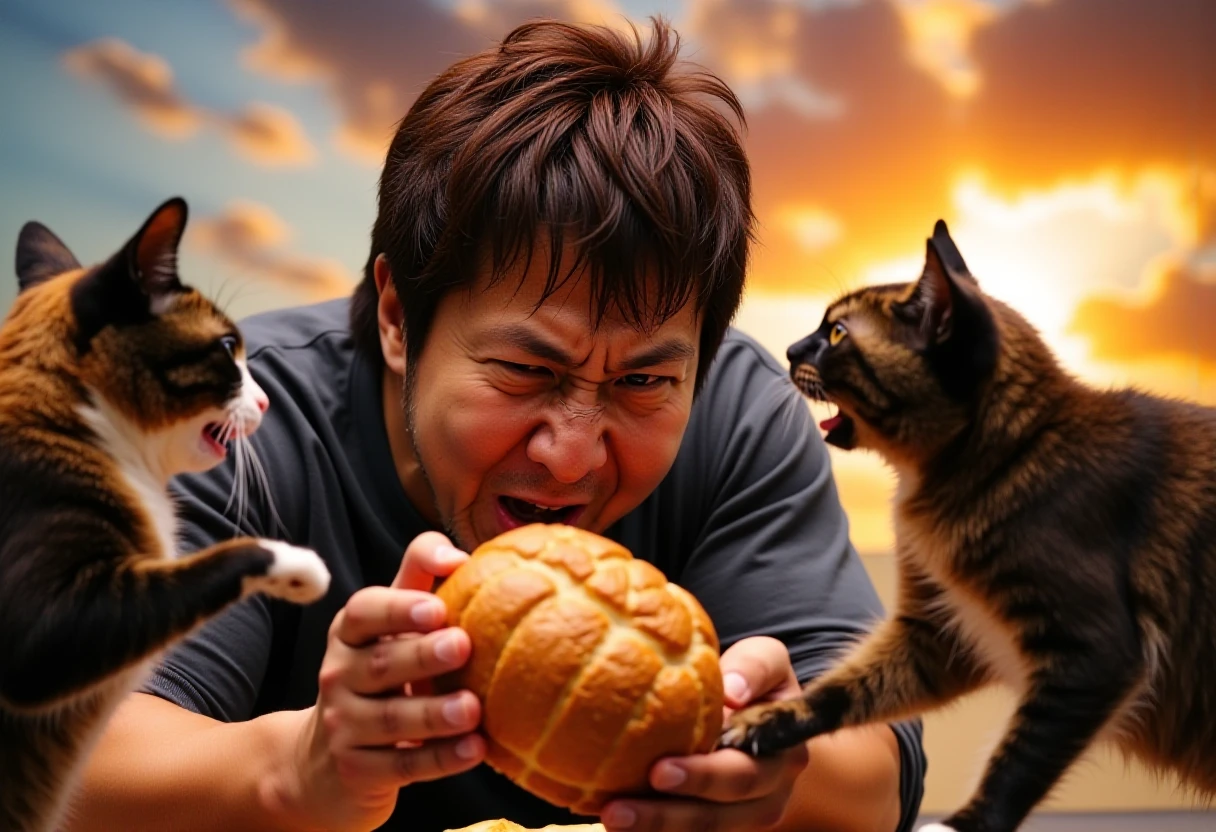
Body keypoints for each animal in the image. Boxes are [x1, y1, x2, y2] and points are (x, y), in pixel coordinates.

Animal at [719, 221, 1216, 832]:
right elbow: (842, 689)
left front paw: (964, 824)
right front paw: (771, 720)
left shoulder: (1094, 654)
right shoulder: (935, 635)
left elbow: (1019, 761)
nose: (789, 349)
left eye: (835, 333)